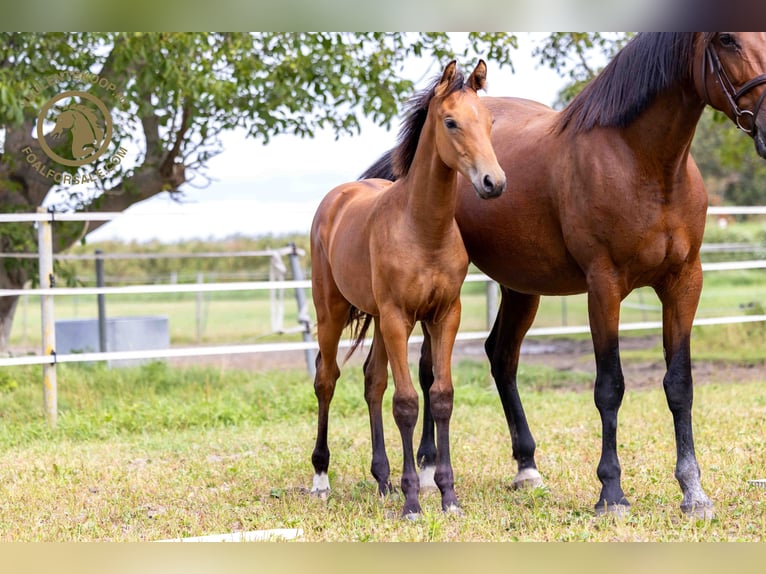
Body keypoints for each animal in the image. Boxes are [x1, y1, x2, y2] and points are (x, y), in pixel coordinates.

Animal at [308, 60, 508, 520]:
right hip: (332, 311)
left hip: (379, 319)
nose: (494, 182)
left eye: (489, 122)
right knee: (327, 379)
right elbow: (407, 403)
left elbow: (440, 396)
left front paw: (448, 496)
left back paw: (382, 480)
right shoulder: (400, 318)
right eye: (451, 122)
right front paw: (413, 501)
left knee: (371, 381)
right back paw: (321, 477)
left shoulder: (443, 316)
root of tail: (337, 197)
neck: (422, 228)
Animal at [364, 31, 766, 520]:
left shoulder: (684, 282)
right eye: (727, 39)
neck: (642, 163)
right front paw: (611, 492)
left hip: (520, 288)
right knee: (428, 370)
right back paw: (426, 470)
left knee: (501, 356)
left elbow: (680, 384)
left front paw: (693, 491)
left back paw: (526, 468)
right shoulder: (604, 286)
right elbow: (610, 386)